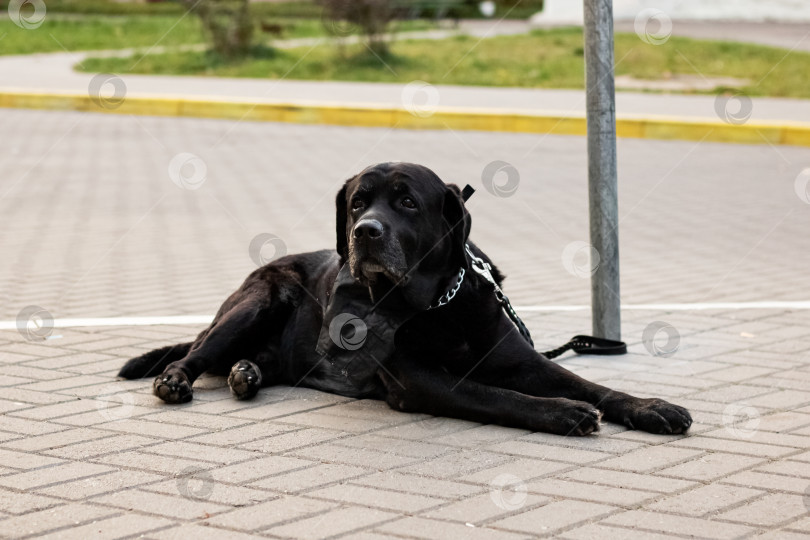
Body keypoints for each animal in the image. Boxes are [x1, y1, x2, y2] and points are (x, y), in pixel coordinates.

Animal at [118, 162, 688, 436]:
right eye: (357, 203)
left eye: (408, 202)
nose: (365, 232)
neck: (439, 307)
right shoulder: (419, 380)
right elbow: (495, 396)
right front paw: (562, 413)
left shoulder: (521, 360)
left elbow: (590, 384)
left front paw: (650, 407)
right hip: (258, 299)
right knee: (195, 354)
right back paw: (179, 380)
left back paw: (247, 373)